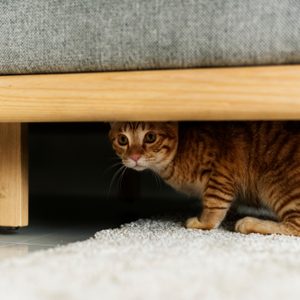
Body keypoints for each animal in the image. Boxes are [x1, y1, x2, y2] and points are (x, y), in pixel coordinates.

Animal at [110, 120, 300, 236]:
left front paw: (203, 223)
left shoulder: (221, 171)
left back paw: (250, 223)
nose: (134, 156)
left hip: (275, 184)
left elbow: (214, 203)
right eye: (122, 140)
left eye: (150, 137)